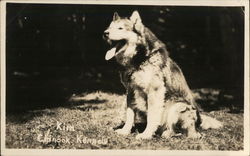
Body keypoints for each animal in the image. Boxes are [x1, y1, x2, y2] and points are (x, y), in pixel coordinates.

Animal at [103, 11, 223, 140]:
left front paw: (146, 134)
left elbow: (152, 116)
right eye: (109, 27)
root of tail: (199, 121)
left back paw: (168, 133)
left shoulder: (154, 91)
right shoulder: (130, 91)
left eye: (120, 28)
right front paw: (125, 131)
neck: (139, 58)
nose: (105, 33)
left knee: (189, 133)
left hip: (179, 106)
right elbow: (130, 114)